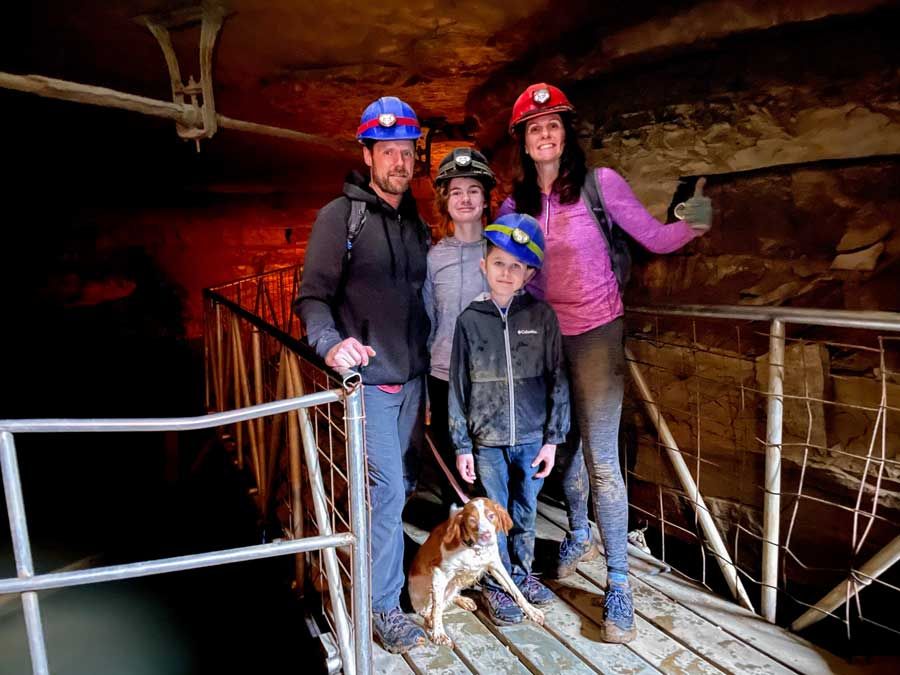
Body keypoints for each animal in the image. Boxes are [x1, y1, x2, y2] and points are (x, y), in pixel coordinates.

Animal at [412, 500, 544, 648]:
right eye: (472, 520)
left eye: (491, 516)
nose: (486, 535)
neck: (475, 549)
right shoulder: (440, 573)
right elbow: (438, 609)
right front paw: (439, 633)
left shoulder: (495, 565)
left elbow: (515, 590)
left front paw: (532, 611)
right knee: (429, 610)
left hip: (454, 583)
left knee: (448, 597)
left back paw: (464, 600)